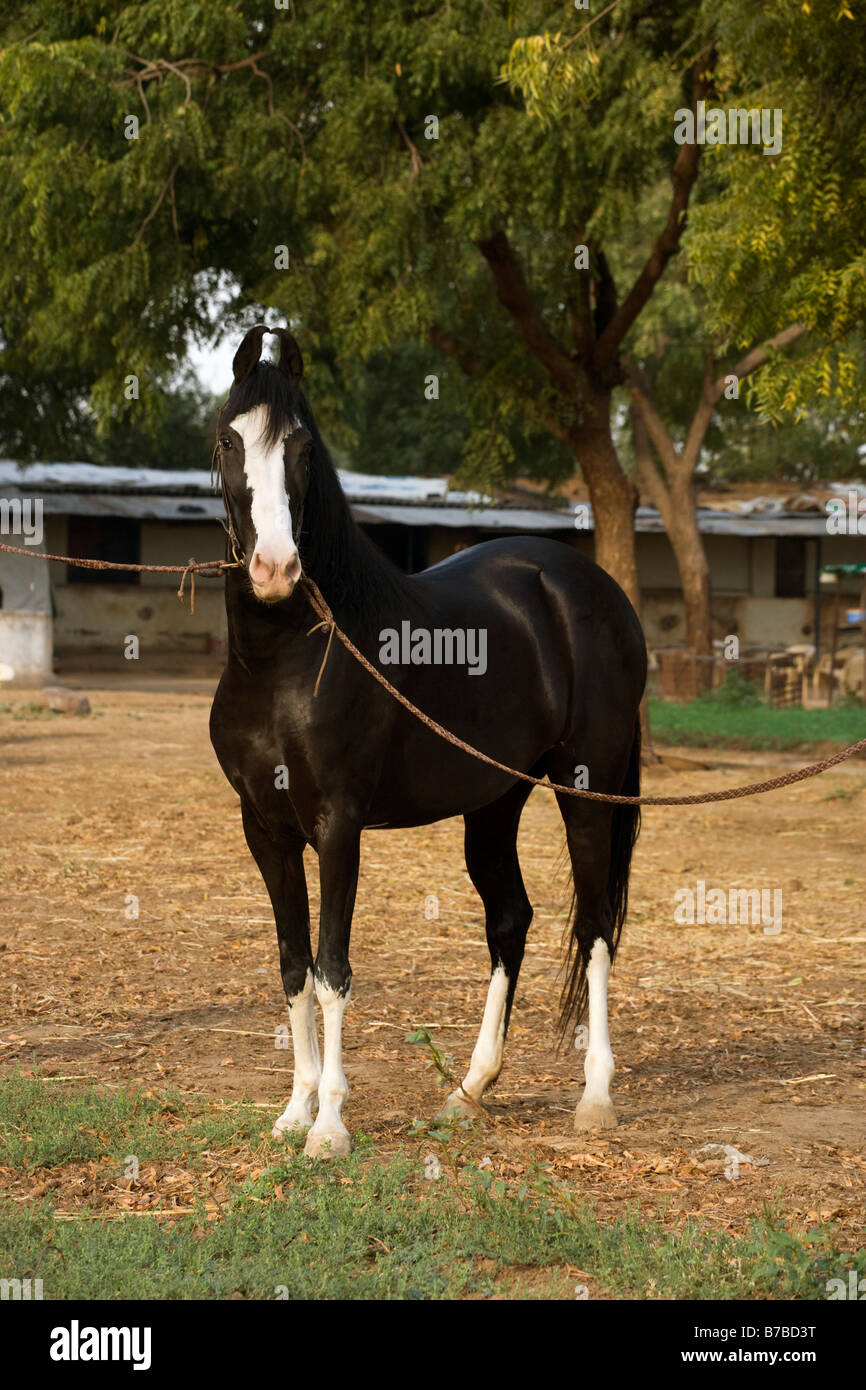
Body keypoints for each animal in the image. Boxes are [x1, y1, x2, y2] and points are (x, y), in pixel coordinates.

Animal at [209, 324, 646, 1158]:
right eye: (227, 440)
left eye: (303, 447)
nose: (276, 569)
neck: (290, 658)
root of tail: (593, 590)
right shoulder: (262, 830)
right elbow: (292, 966)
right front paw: (294, 1112)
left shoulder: (338, 826)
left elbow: (332, 966)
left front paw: (330, 1127)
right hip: (496, 801)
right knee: (512, 919)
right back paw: (466, 1093)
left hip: (587, 788)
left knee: (596, 927)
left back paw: (598, 1098)